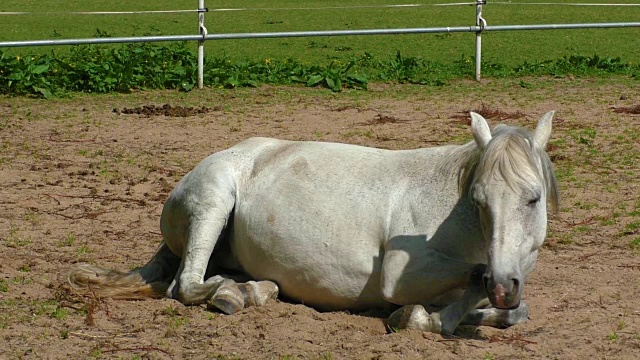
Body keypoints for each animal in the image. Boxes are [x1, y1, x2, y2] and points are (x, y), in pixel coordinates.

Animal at [70, 112, 556, 334]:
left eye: (533, 198)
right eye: (478, 201)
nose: (502, 284)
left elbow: (516, 311)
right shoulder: (401, 274)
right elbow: (454, 289)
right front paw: (418, 317)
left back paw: (253, 288)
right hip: (212, 201)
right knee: (185, 285)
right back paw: (235, 294)